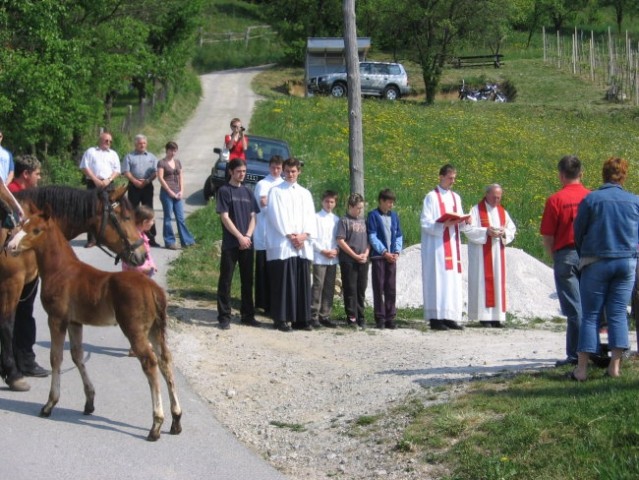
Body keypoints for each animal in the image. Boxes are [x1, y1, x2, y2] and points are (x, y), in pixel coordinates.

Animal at [0, 186, 146, 392]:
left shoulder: (27, 283)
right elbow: (7, 325)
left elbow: (23, 321)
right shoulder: (11, 283)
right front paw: (12, 374)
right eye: (126, 217)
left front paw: (27, 366)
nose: (142, 254)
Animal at [7, 206, 182, 442]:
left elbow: (56, 358)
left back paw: (156, 425)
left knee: (150, 363)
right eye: (20, 225)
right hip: (155, 330)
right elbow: (77, 356)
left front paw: (49, 404)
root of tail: (154, 290)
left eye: (36, 230)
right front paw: (89, 402)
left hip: (135, 330)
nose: (11, 246)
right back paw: (176, 420)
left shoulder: (57, 319)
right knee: (165, 361)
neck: (61, 270)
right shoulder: (75, 322)